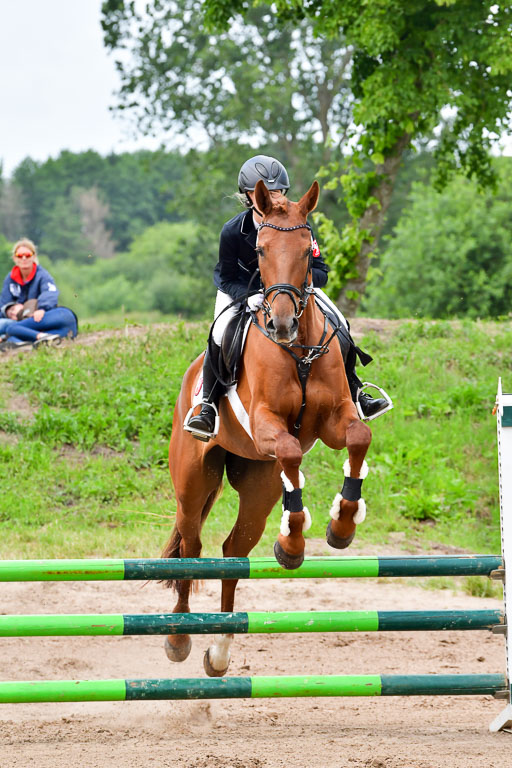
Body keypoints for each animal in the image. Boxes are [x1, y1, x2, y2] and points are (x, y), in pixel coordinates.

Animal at [163, 179, 372, 676]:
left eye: (307, 247)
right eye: (259, 249)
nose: (281, 323)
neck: (299, 349)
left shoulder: (336, 420)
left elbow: (358, 437)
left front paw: (340, 524)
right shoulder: (266, 427)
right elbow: (292, 452)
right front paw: (295, 540)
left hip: (257, 483)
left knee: (232, 554)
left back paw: (219, 652)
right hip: (192, 483)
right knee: (192, 549)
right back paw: (179, 638)